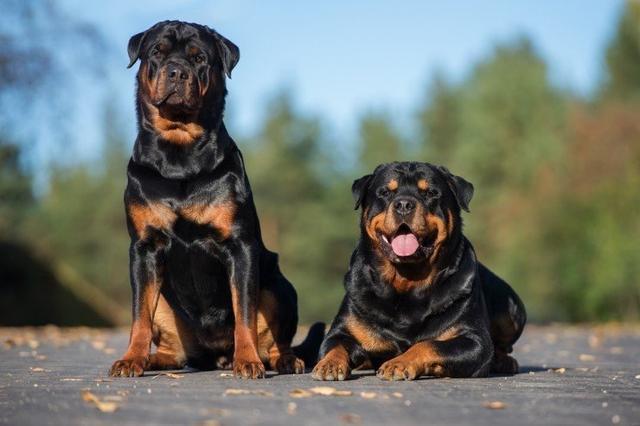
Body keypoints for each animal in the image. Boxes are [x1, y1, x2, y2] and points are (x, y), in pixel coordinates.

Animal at [108, 20, 324, 380]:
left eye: (199, 58)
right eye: (157, 52)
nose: (177, 71)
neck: (179, 154)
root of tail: (214, 354)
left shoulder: (240, 246)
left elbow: (244, 313)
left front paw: (247, 360)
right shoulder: (144, 247)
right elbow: (139, 315)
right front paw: (131, 358)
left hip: (280, 288)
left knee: (277, 336)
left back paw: (282, 359)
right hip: (167, 307)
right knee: (173, 345)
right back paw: (155, 359)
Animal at [312, 161, 524, 382]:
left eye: (430, 192)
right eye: (385, 192)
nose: (404, 204)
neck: (407, 281)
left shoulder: (474, 340)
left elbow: (428, 344)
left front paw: (399, 363)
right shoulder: (341, 330)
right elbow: (334, 345)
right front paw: (330, 364)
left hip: (512, 310)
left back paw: (503, 361)